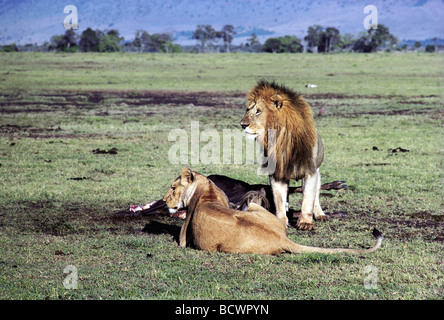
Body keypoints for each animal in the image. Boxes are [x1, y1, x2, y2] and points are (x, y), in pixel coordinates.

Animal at [163, 168, 382, 255]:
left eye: (173, 187)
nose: (164, 200)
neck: (207, 191)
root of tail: (281, 239)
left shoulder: (184, 238)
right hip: (254, 205)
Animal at [241, 80, 324, 230]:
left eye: (258, 111)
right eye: (247, 110)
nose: (242, 125)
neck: (281, 139)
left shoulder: (310, 171)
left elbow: (308, 199)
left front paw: (305, 223)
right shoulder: (277, 173)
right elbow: (279, 199)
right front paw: (280, 220)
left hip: (318, 171)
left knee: (316, 196)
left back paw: (320, 214)